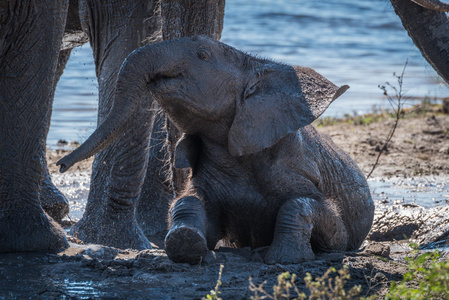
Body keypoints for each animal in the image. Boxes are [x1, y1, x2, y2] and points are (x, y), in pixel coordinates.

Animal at [57, 36, 372, 264]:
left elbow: (318, 215)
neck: (255, 63)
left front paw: (286, 259)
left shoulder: (297, 166)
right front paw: (186, 244)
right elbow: (191, 201)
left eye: (203, 55)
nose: (61, 164)